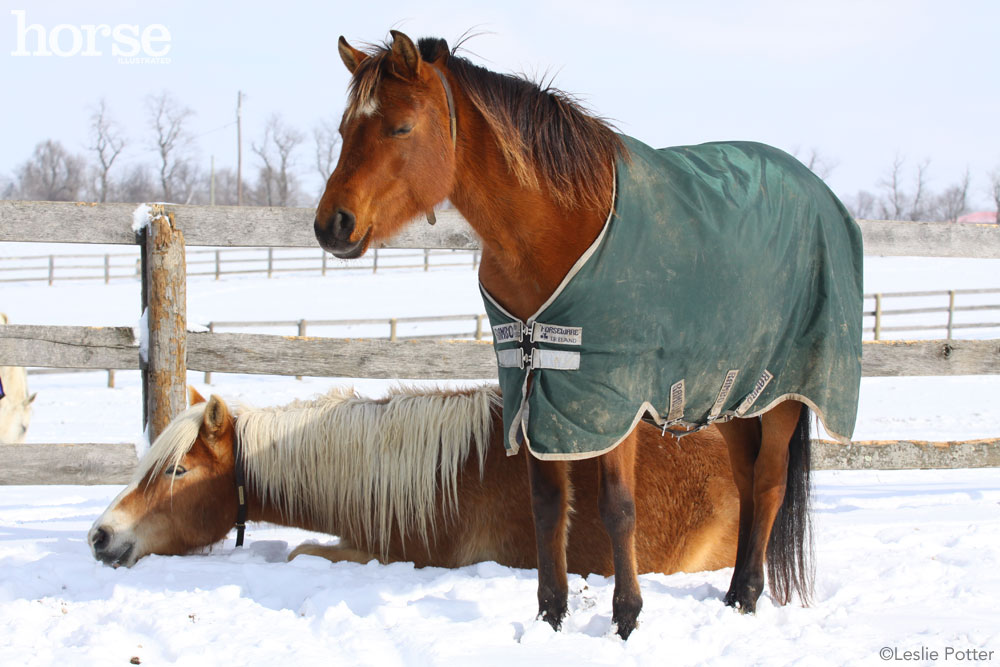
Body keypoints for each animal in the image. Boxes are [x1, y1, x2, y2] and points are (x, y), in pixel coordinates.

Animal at [316, 32, 864, 640]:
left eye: (401, 127)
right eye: (344, 129)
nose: (332, 225)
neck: (557, 228)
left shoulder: (610, 398)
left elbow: (618, 508)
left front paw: (626, 619)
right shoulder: (534, 390)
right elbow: (548, 505)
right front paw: (550, 616)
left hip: (786, 392)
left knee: (768, 485)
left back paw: (745, 595)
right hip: (736, 396)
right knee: (746, 483)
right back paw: (733, 593)